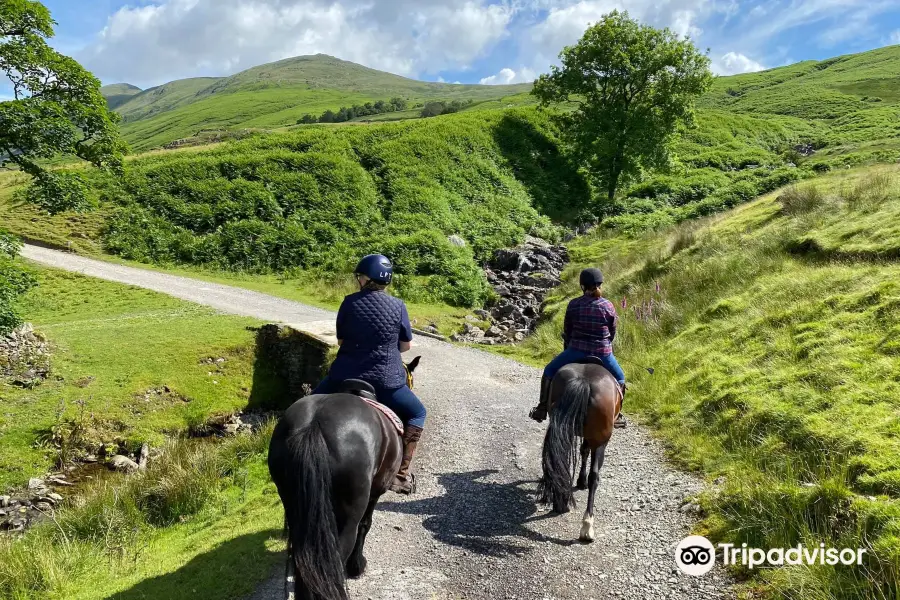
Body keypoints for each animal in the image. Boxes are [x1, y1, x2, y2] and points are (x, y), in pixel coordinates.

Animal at [268, 356, 422, 600]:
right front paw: (357, 566)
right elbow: (366, 525)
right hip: (347, 515)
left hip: (296, 510)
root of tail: (313, 425)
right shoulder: (375, 492)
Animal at [536, 360, 624, 544]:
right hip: (600, 441)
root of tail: (584, 381)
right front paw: (581, 481)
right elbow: (585, 452)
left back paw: (561, 503)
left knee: (560, 462)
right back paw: (587, 525)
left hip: (564, 430)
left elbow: (583, 451)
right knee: (594, 476)